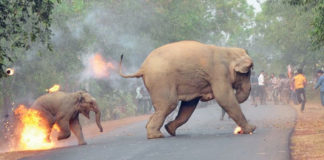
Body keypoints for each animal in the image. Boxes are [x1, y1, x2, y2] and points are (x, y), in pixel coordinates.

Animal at [119, 40, 256, 139]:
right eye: (247, 73)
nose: (237, 95)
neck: (228, 51)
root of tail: (142, 68)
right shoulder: (219, 73)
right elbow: (224, 97)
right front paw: (251, 129)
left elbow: (189, 105)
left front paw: (170, 129)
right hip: (161, 80)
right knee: (169, 104)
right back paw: (156, 136)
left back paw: (157, 130)